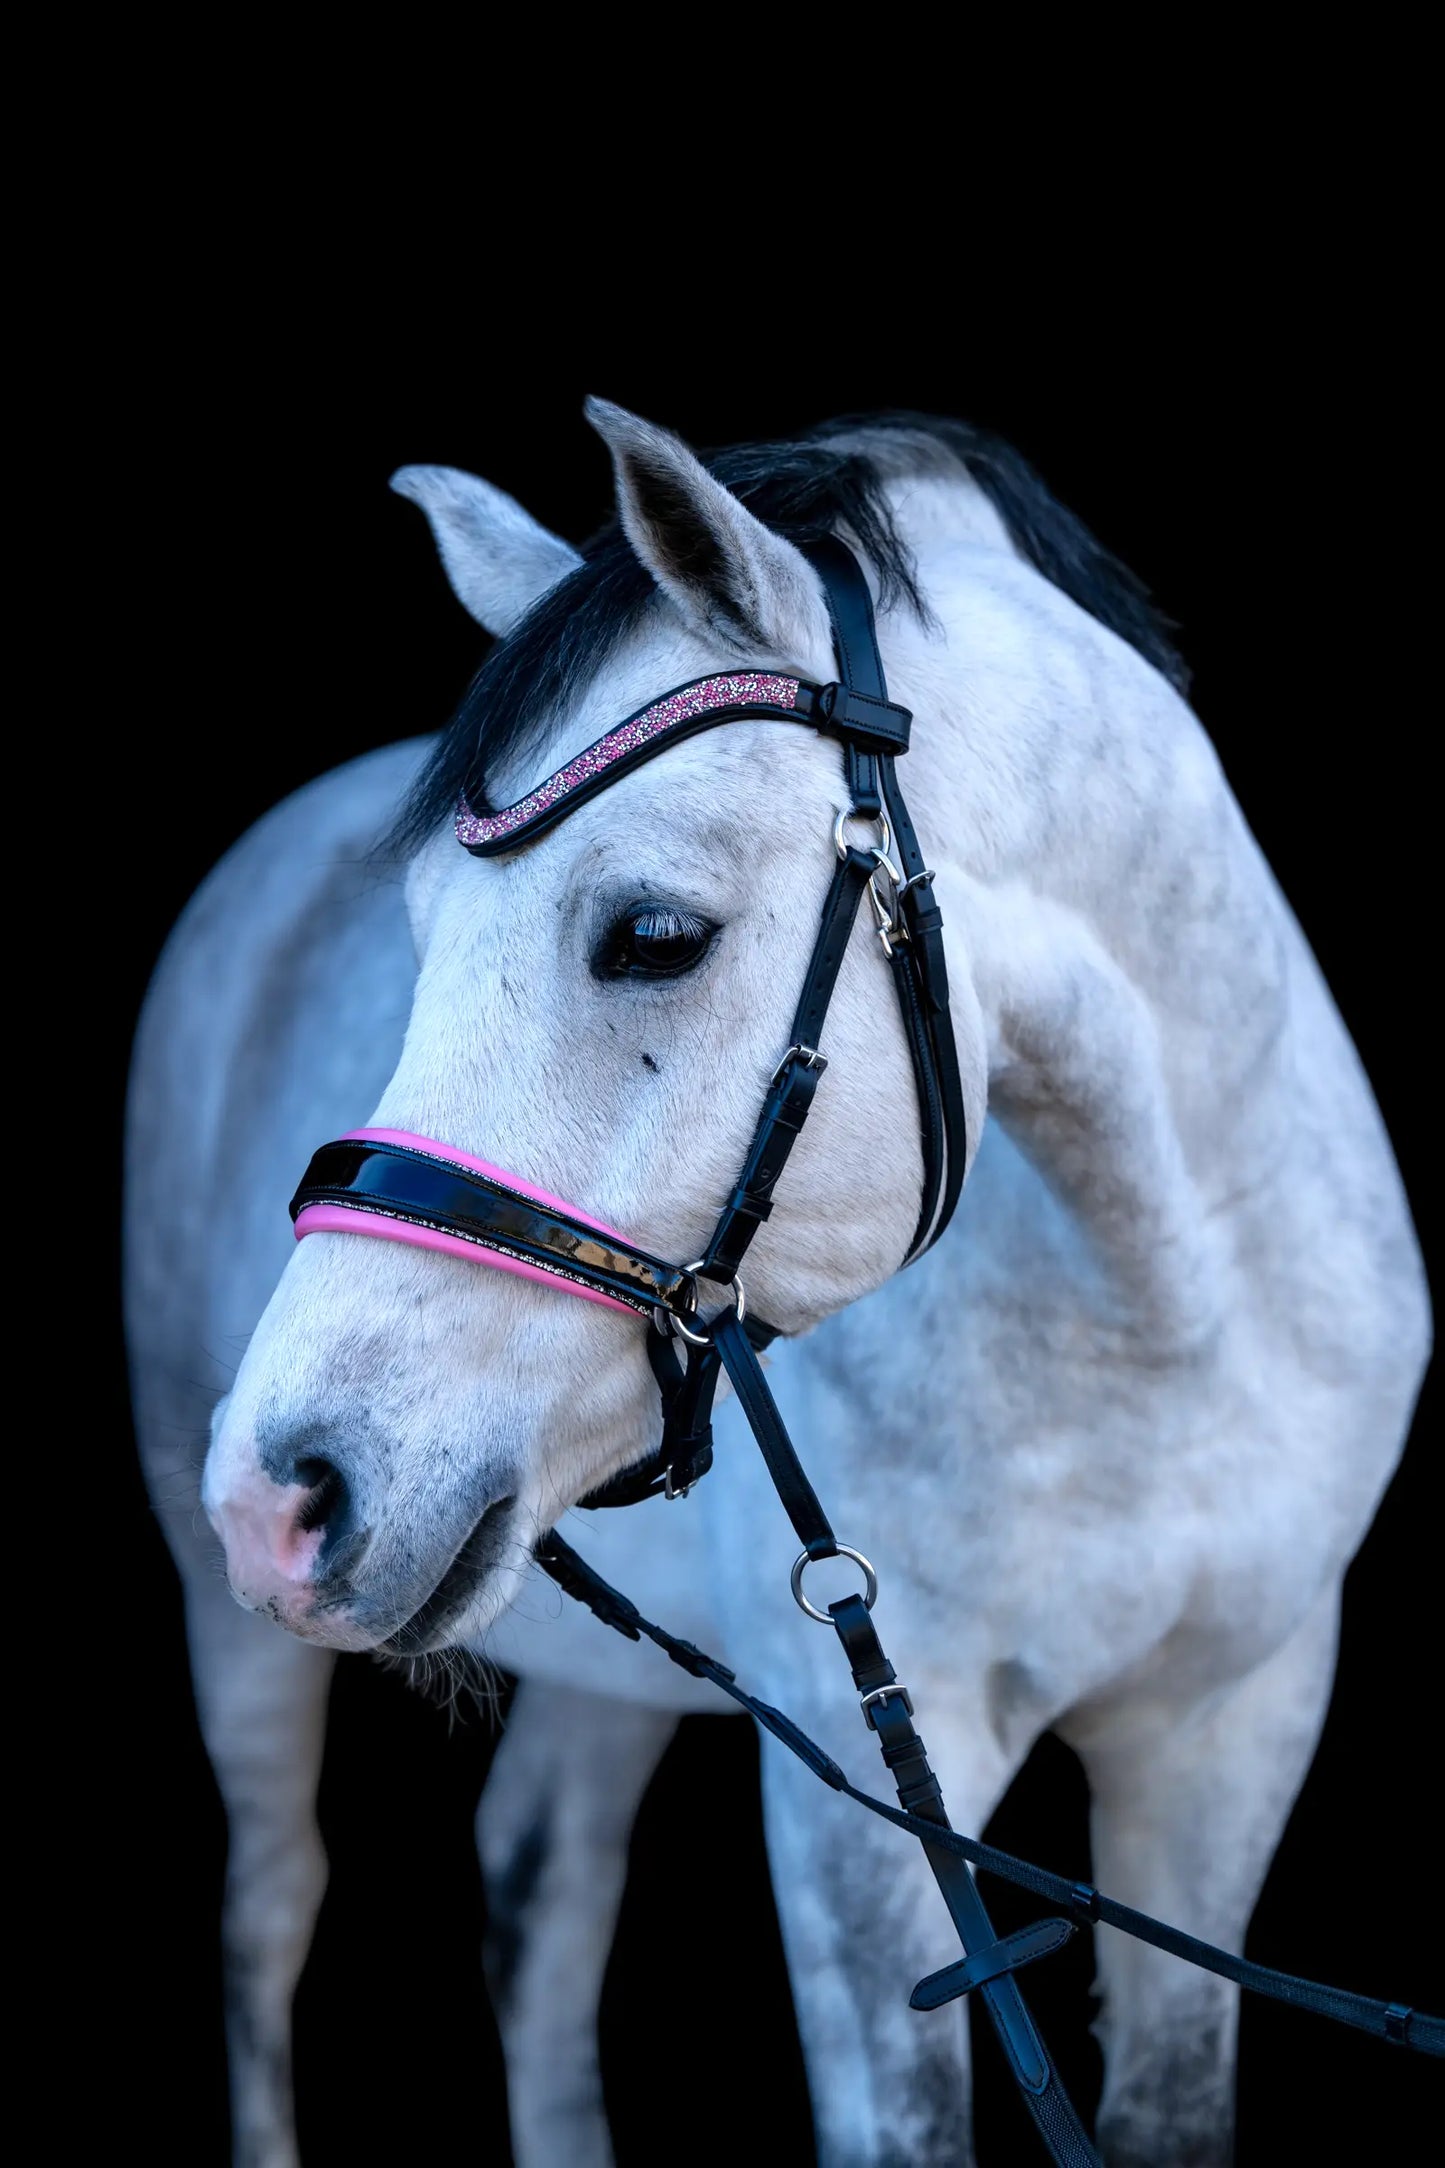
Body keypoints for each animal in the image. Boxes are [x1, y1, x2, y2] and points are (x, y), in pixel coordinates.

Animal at [125, 401, 1430, 2167]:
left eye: (653, 935)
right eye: (413, 932)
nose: (283, 1492)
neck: (1163, 1326)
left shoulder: (1231, 1736)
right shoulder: (873, 1828)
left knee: (539, 1901)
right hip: (238, 1641)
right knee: (270, 1916)